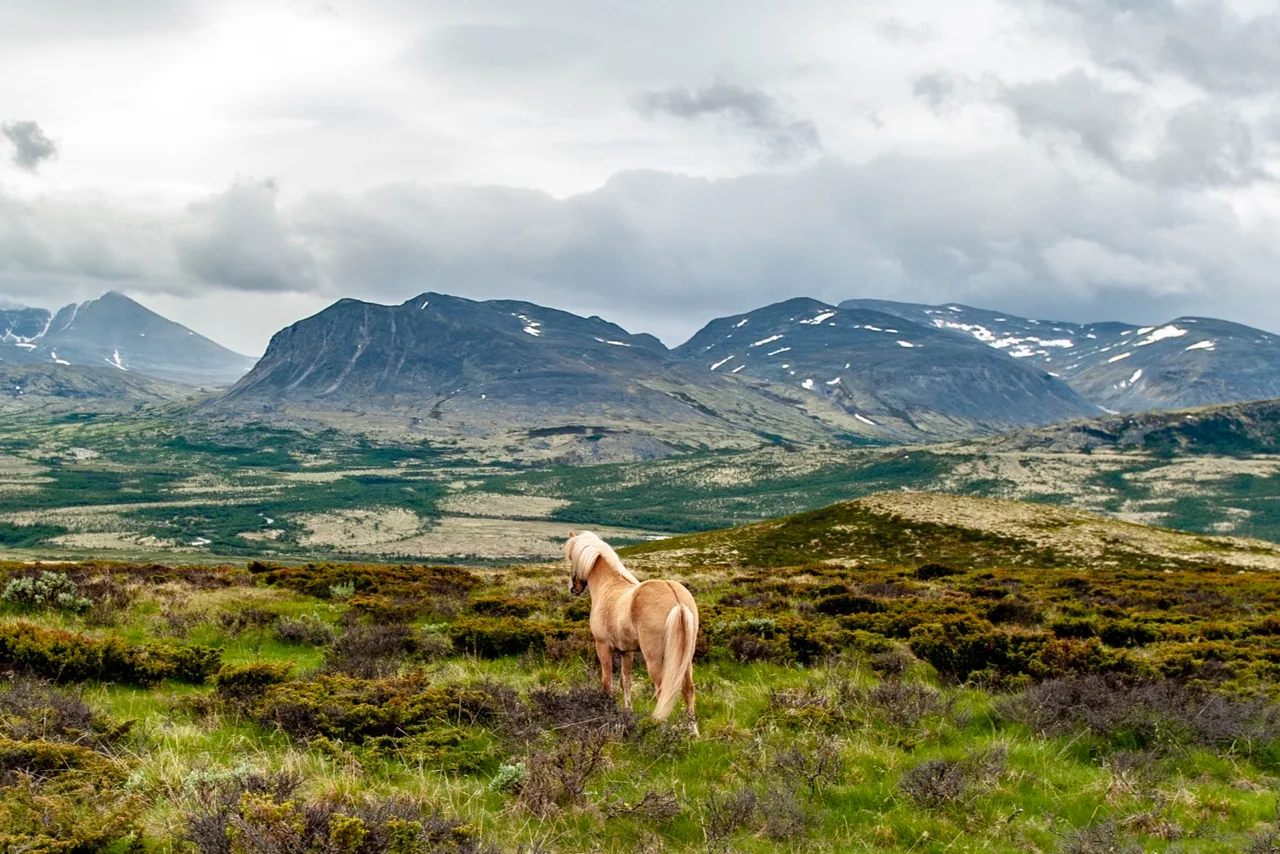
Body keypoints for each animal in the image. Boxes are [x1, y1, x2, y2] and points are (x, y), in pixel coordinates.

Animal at [565, 530, 699, 732]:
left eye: (571, 557)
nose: (574, 588)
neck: (608, 584)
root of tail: (677, 600)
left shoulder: (603, 646)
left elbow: (607, 682)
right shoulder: (626, 651)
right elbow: (625, 682)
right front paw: (627, 711)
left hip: (654, 659)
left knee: (663, 691)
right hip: (686, 659)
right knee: (688, 690)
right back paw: (693, 732)